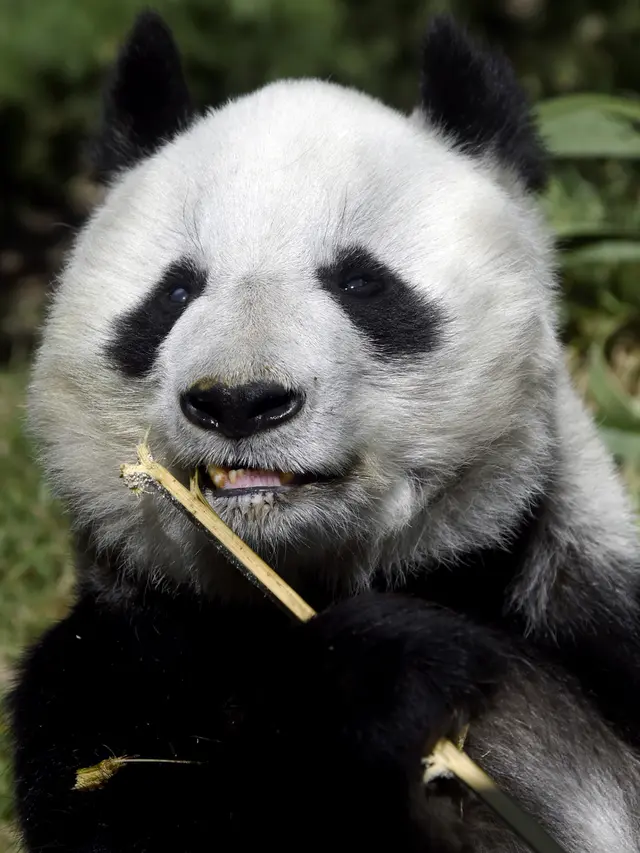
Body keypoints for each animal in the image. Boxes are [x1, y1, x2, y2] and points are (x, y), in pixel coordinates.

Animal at [8, 9, 640, 852]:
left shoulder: (590, 611)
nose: (240, 401)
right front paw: (383, 672)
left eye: (361, 281)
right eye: (175, 292)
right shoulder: (119, 664)